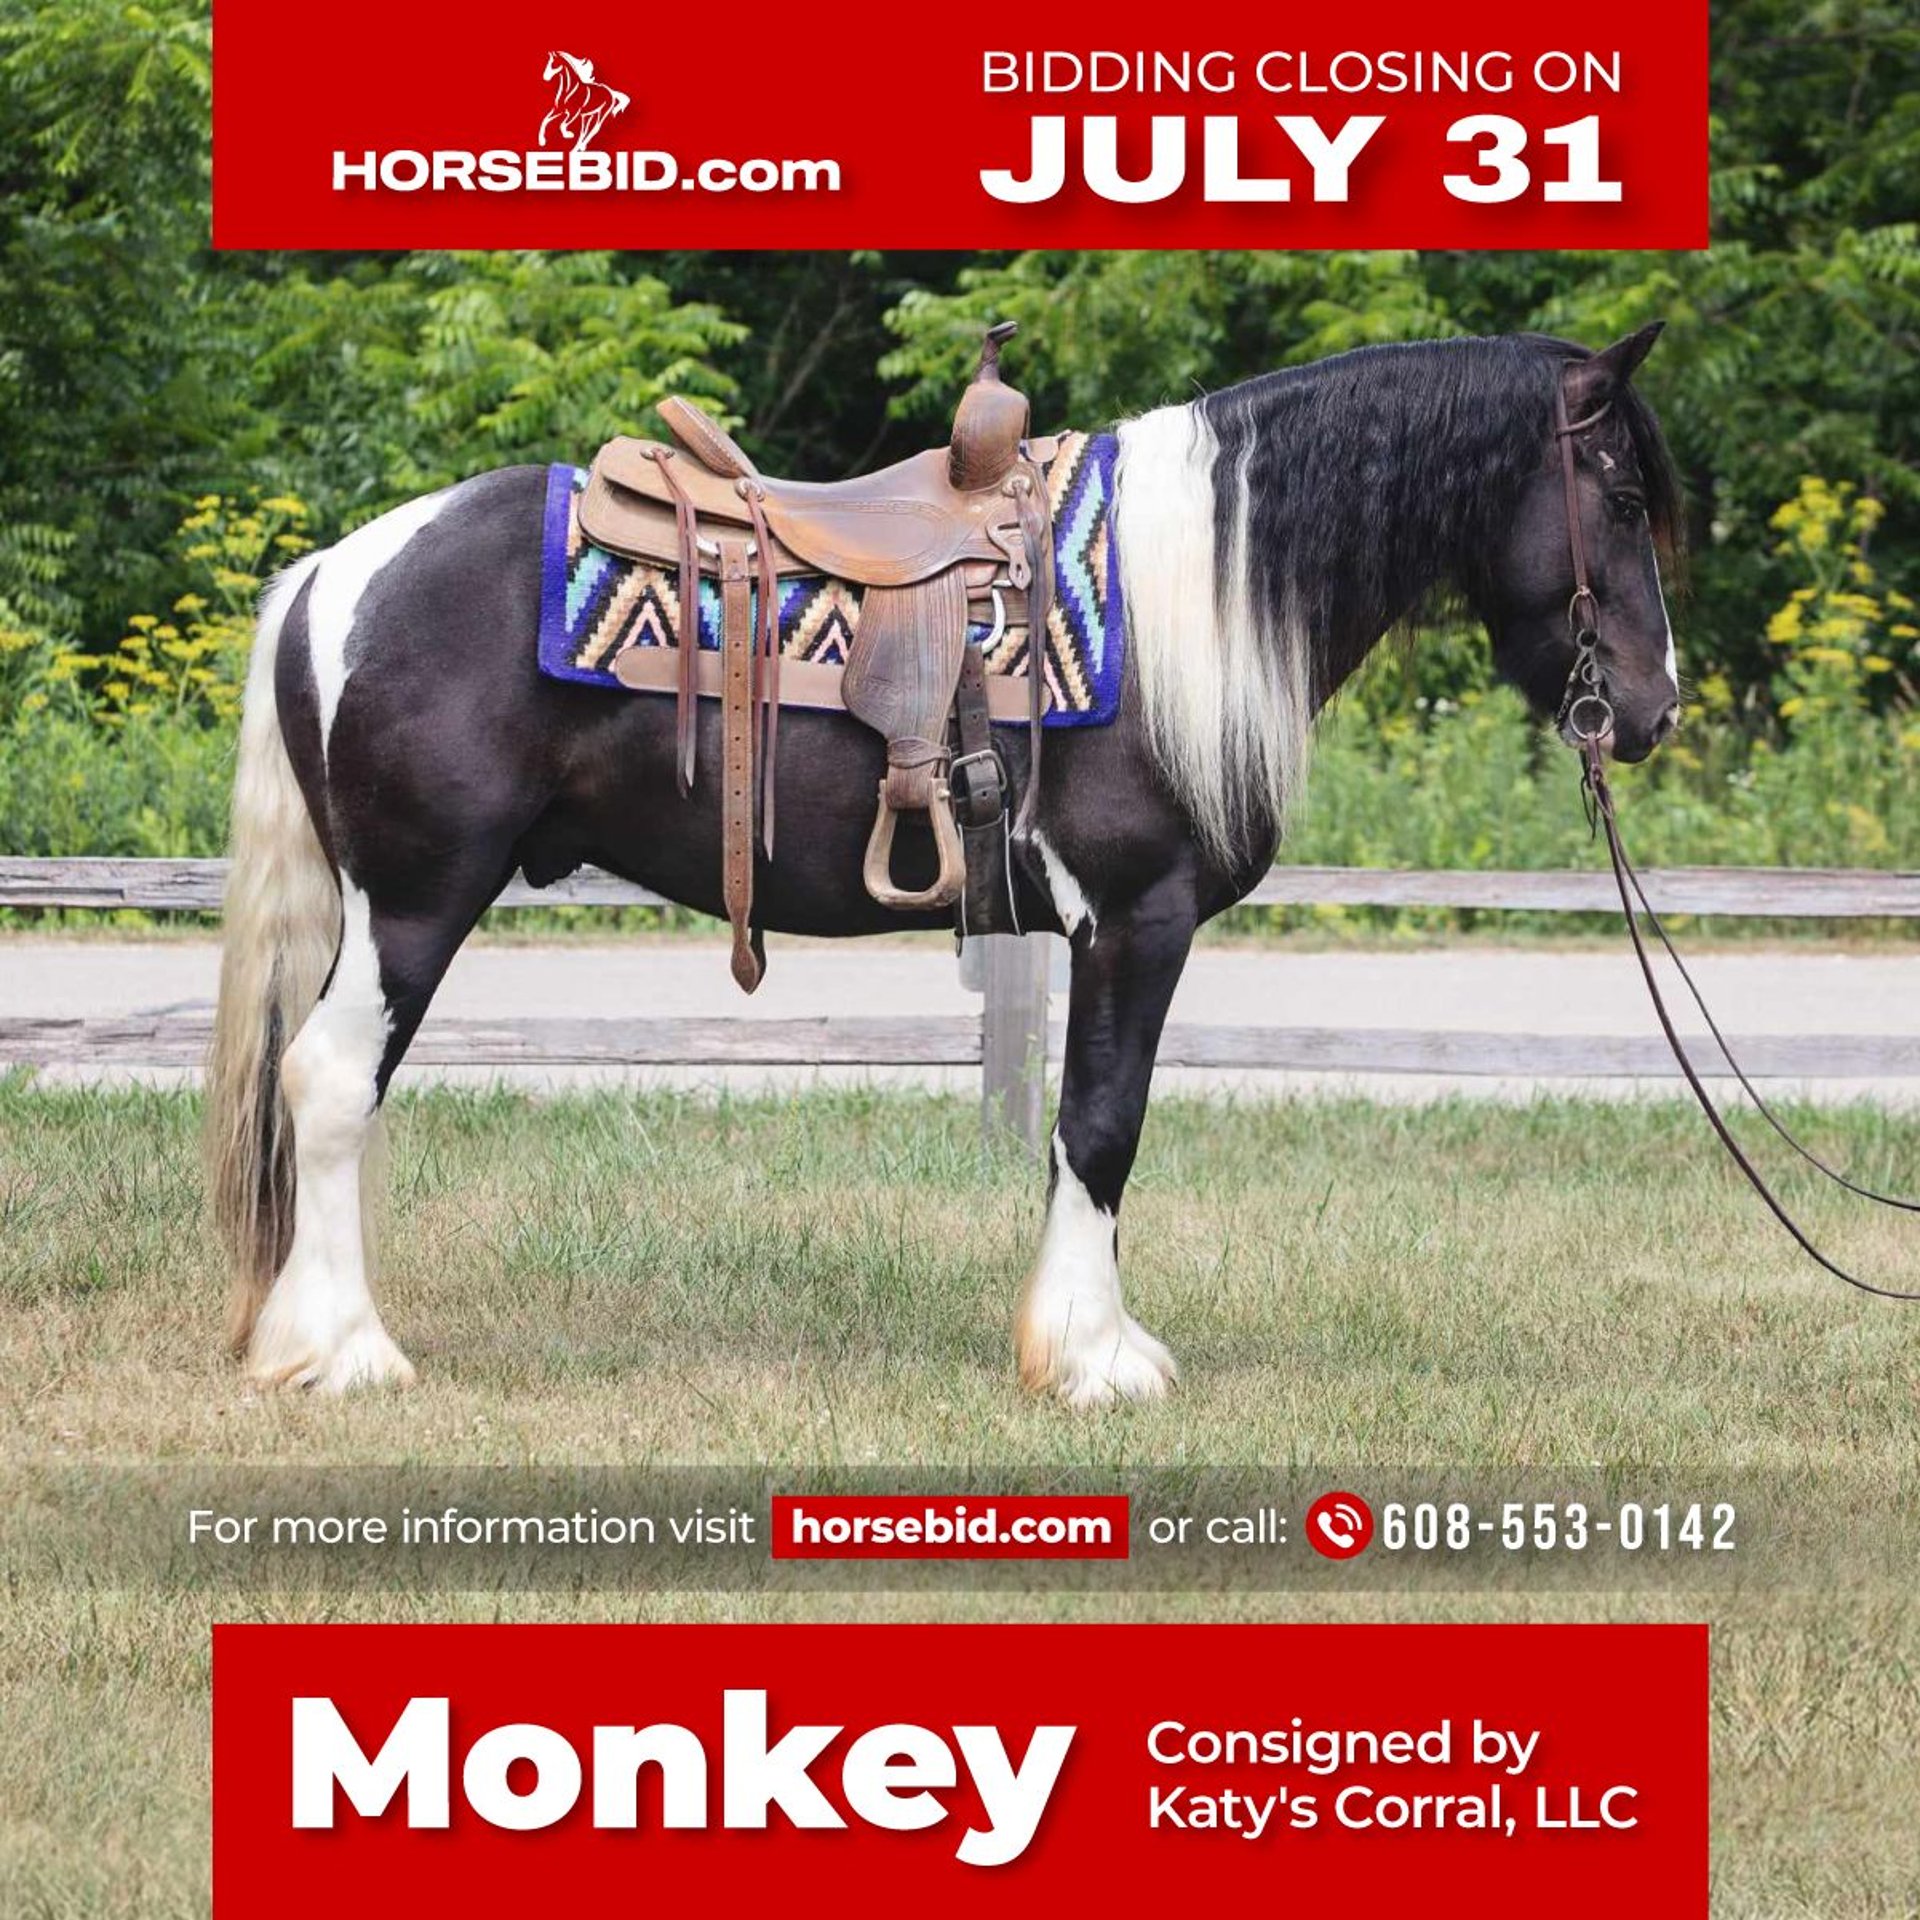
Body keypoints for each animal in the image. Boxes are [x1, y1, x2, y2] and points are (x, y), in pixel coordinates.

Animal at [204, 325, 1684, 1406]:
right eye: (1616, 492)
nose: (1654, 710)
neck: (1190, 597)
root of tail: (337, 570)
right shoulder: (1135, 921)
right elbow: (1100, 1126)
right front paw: (1093, 1360)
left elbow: (1081, 1128)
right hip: (414, 903)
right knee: (328, 1081)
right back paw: (344, 1351)